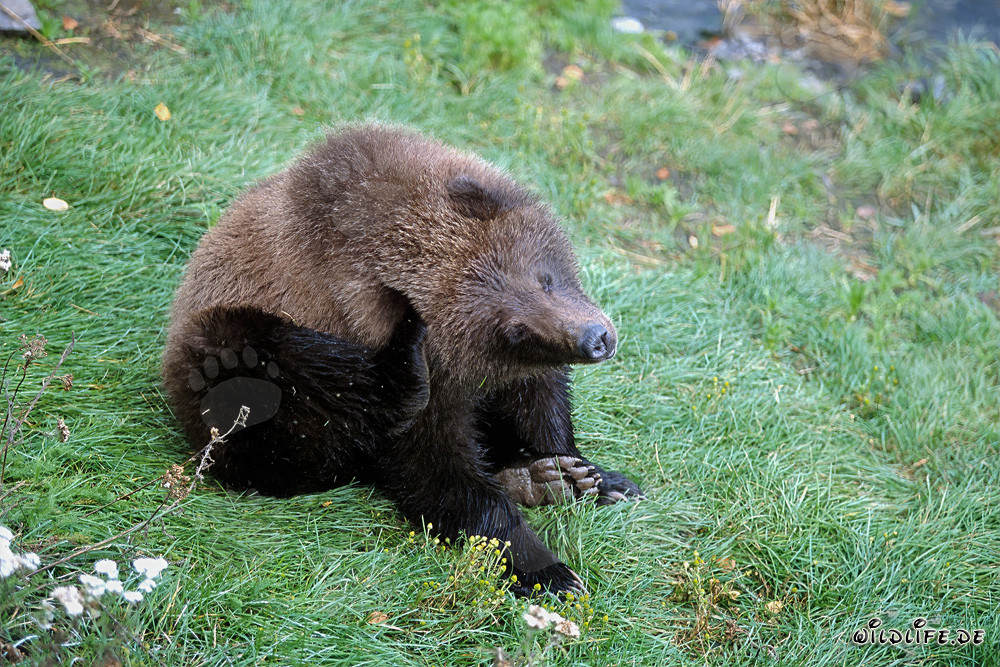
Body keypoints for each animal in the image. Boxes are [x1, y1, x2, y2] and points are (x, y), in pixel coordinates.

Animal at [162, 123, 643, 596]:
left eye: (544, 279)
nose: (596, 339)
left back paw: (542, 479)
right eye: (513, 329)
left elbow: (539, 403)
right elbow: (439, 474)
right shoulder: (422, 386)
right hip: (232, 347)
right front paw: (548, 569)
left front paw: (591, 476)